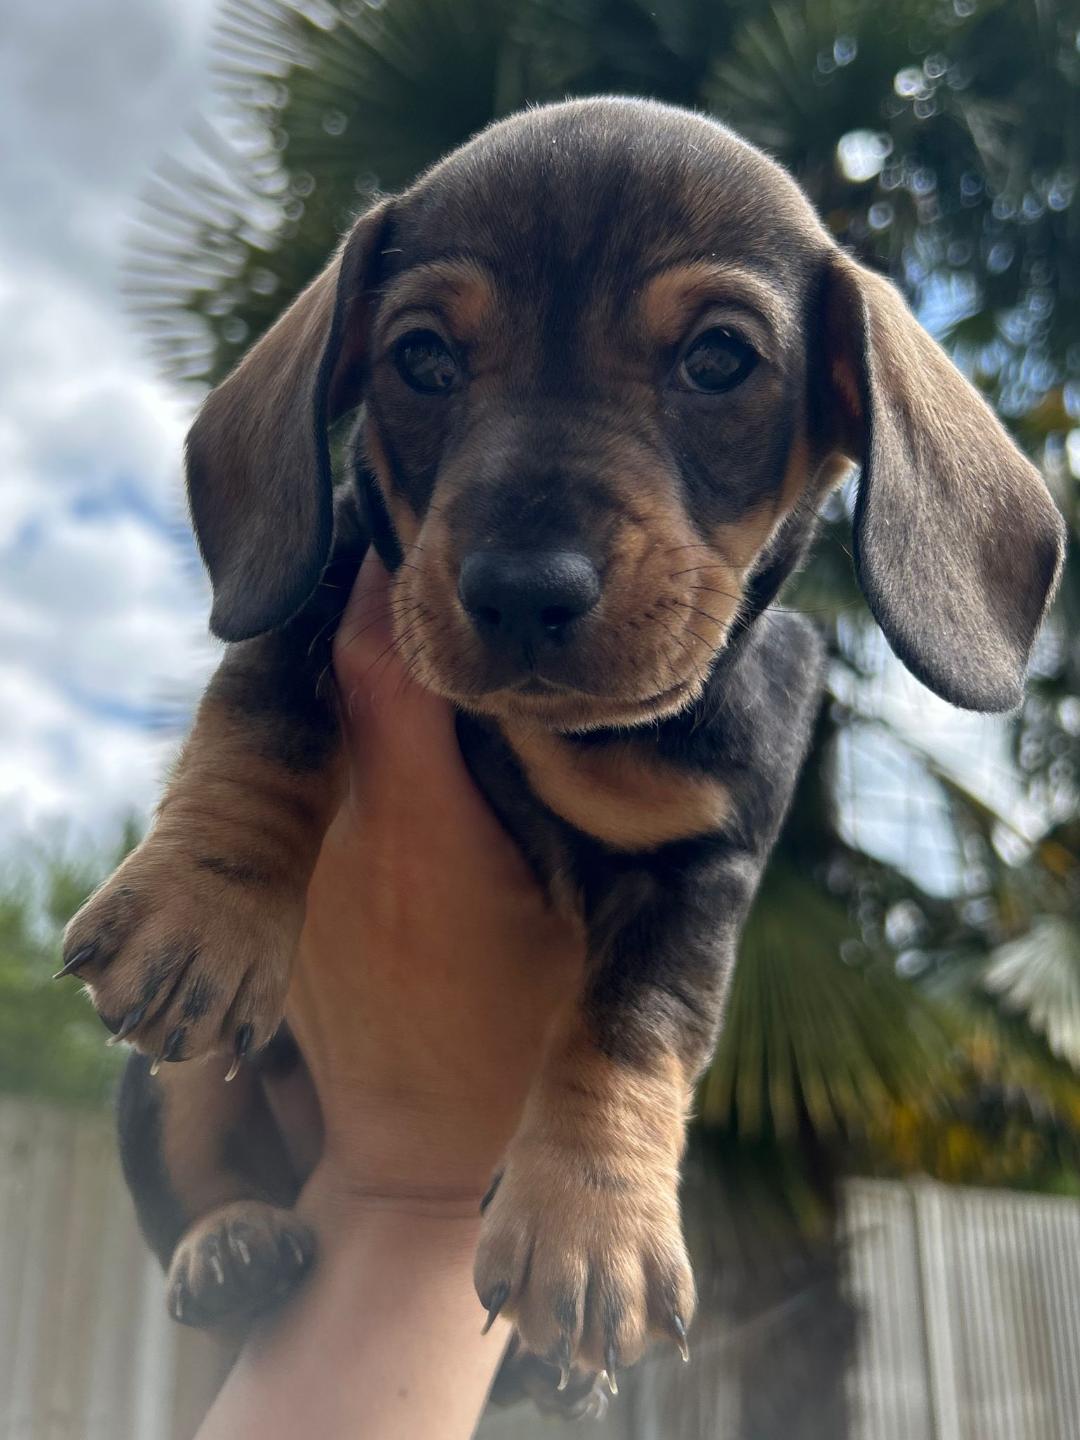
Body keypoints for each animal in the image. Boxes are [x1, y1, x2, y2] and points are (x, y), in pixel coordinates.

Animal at [61, 95, 1065, 1399]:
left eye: (720, 360)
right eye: (423, 359)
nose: (523, 591)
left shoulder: (699, 868)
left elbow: (631, 1027)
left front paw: (593, 1225)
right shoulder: (336, 577)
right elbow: (265, 704)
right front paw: (205, 900)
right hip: (169, 1087)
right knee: (192, 1185)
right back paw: (228, 1245)